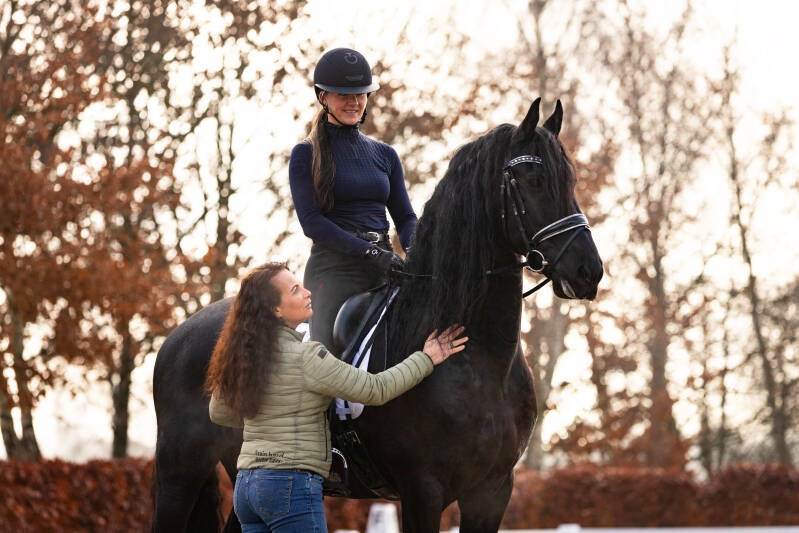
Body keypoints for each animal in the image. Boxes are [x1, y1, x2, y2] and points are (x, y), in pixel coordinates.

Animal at [151, 97, 603, 532]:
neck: (479, 362)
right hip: (179, 472)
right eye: (531, 180)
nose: (588, 271)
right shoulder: (423, 491)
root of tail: (179, 337)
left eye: (570, 182)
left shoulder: (492, 491)